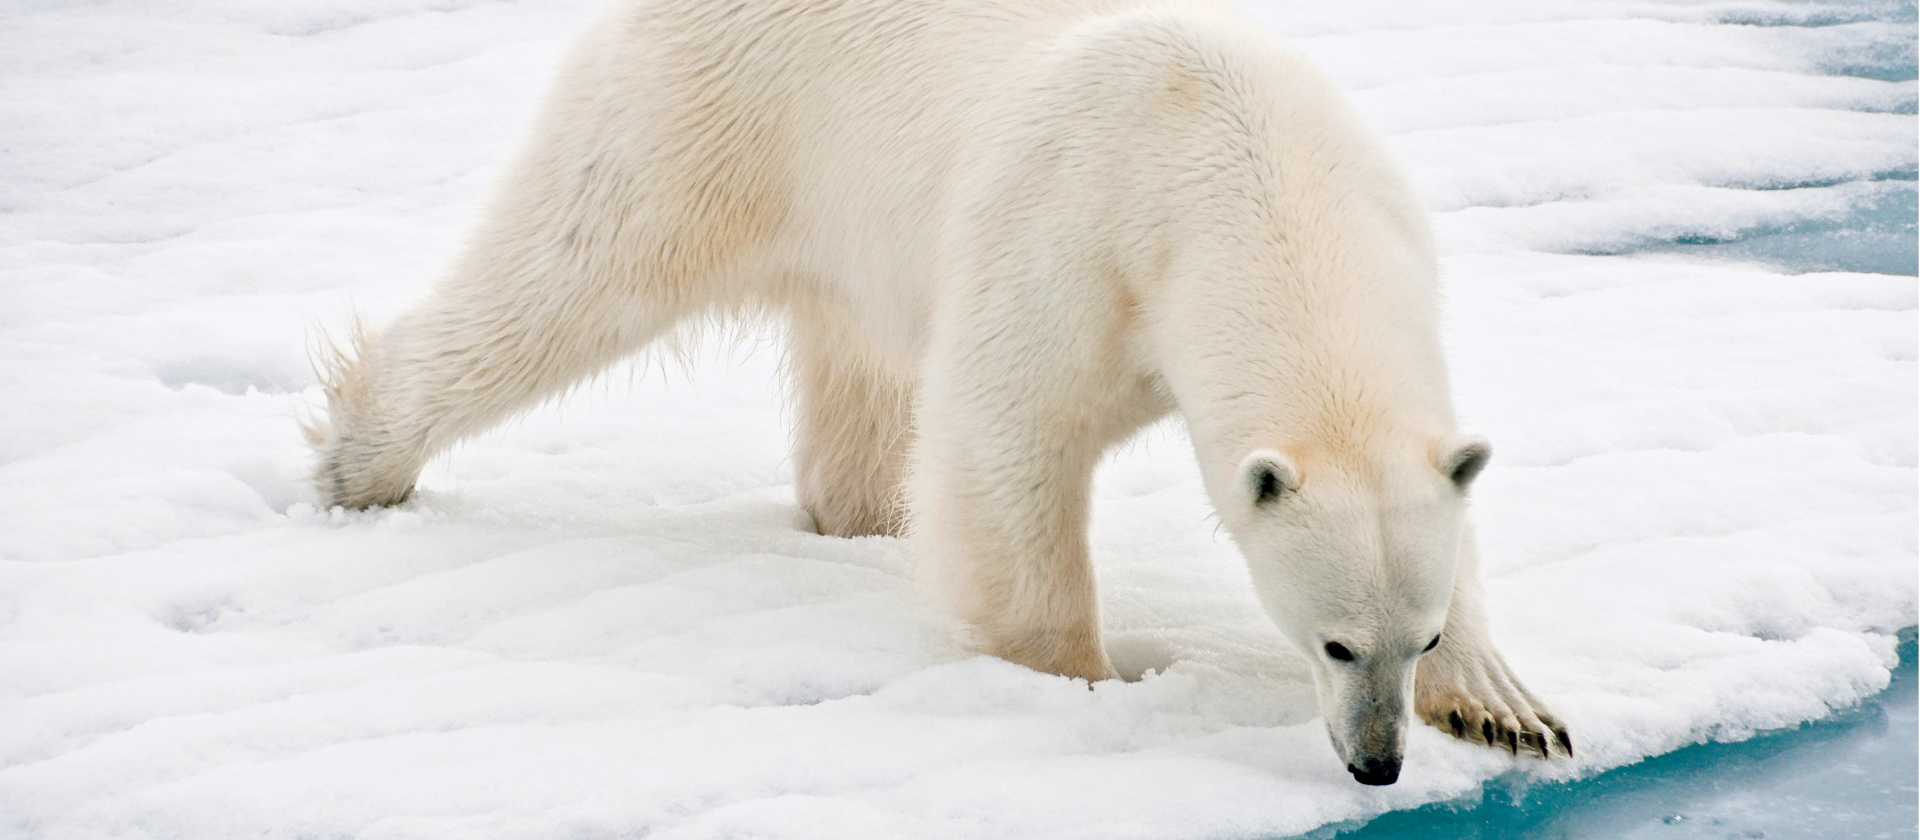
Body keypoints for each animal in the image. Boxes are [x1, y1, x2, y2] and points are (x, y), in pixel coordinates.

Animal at [304, 0, 1569, 784]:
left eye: (1419, 635)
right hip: (706, 116)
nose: (1378, 764)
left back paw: (860, 513)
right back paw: (360, 458)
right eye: (1334, 645)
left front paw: (1510, 709)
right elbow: (1008, 437)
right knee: (567, 276)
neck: (1247, 170)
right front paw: (1079, 680)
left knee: (855, 381)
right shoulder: (1078, 231)